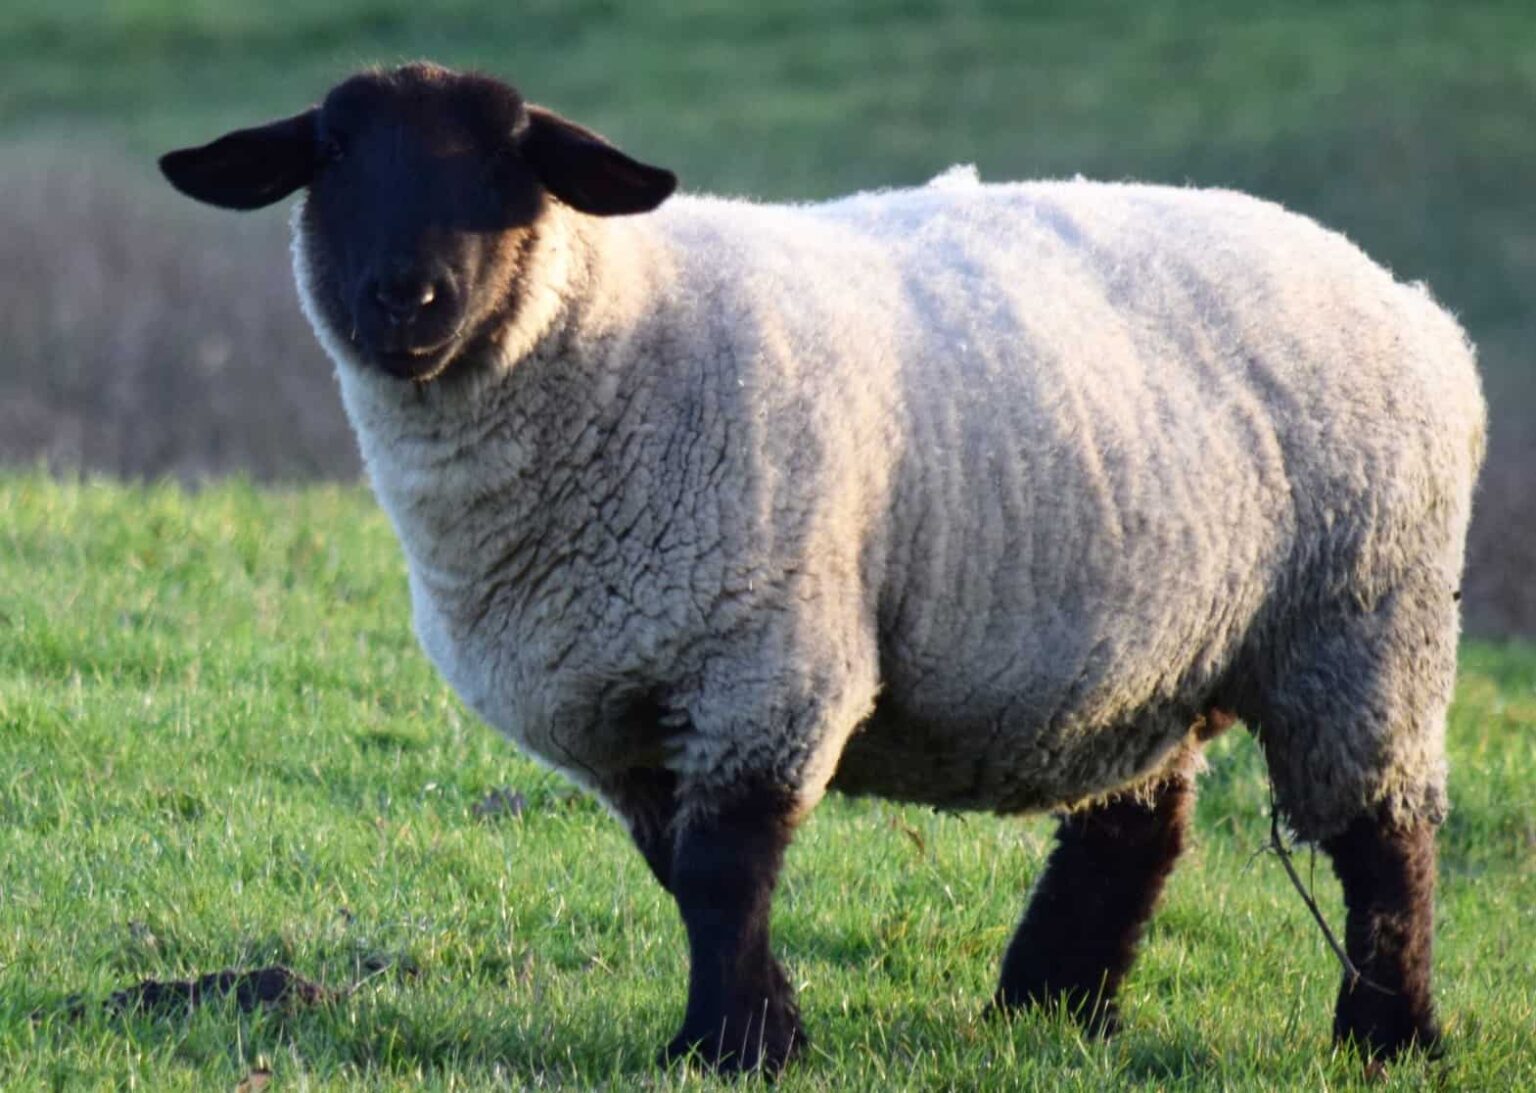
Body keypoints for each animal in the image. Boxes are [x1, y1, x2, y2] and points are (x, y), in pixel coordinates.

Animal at [162, 64, 1480, 1074]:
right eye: (331, 158)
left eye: (510, 165)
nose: (407, 299)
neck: (612, 342)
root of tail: (1414, 303)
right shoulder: (631, 710)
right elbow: (680, 869)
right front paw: (768, 1027)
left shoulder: (767, 660)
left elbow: (722, 867)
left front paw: (727, 1048)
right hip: (1141, 644)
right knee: (1132, 832)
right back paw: (1051, 1010)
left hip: (1364, 624)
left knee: (1385, 842)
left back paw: (1389, 1035)